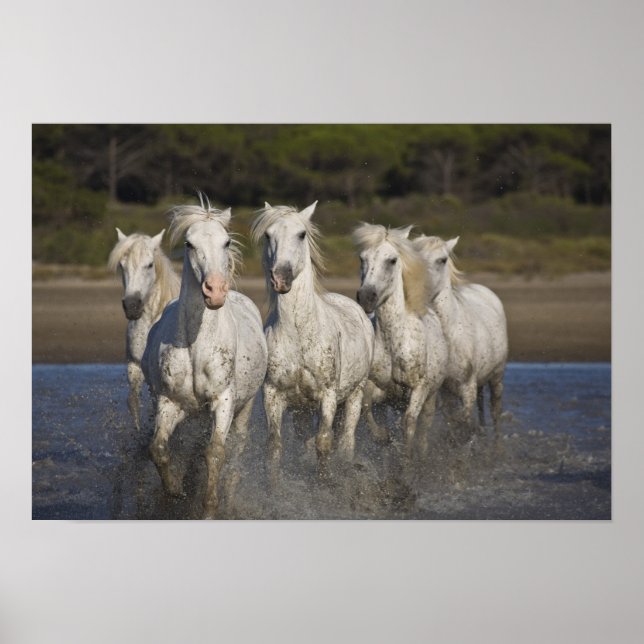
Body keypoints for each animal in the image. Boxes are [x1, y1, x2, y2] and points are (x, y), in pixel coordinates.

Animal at [141, 197, 268, 518]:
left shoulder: (224, 401)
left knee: (237, 449)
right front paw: (174, 490)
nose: (215, 291)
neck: (196, 347)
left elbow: (216, 452)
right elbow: (158, 449)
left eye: (226, 242)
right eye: (189, 243)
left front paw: (210, 507)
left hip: (245, 407)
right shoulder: (169, 402)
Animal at [250, 201, 374, 471]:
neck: (299, 334)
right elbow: (274, 447)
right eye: (268, 235)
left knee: (346, 441)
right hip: (302, 410)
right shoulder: (273, 395)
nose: (281, 277)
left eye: (301, 234)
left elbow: (324, 442)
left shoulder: (327, 395)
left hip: (354, 395)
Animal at [352, 224, 448, 456]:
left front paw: (406, 457)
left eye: (392, 260)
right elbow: (366, 408)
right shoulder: (378, 388)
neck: (393, 343)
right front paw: (382, 436)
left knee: (424, 427)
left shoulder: (419, 388)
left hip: (430, 397)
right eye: (362, 258)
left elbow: (409, 422)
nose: (366, 297)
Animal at [412, 235, 508, 438]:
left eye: (442, 260)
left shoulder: (467, 385)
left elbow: (463, 422)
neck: (448, 337)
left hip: (496, 377)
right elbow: (453, 421)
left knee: (495, 413)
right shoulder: (442, 391)